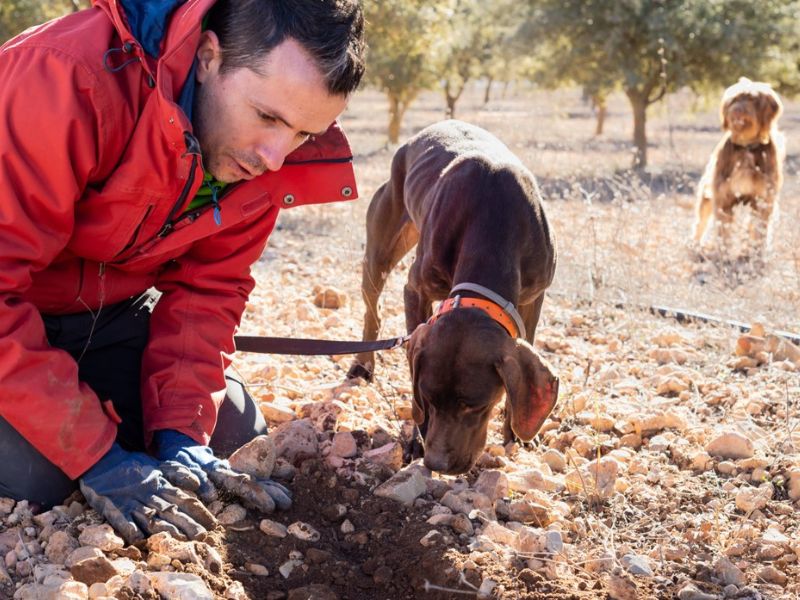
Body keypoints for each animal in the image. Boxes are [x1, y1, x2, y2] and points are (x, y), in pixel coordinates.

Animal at [346, 119, 560, 474]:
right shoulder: (415, 291)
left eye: (475, 405)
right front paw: (417, 438)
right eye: (429, 399)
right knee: (371, 312)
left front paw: (516, 434)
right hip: (378, 253)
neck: (493, 222)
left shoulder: (533, 299)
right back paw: (362, 364)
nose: (437, 463)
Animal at [692, 76, 788, 254]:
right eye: (734, 100)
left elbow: (758, 229)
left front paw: (756, 252)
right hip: (706, 196)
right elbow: (723, 229)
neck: (746, 146)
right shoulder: (723, 197)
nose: (736, 110)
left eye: (752, 99)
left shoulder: (763, 199)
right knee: (700, 222)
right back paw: (694, 245)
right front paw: (723, 252)